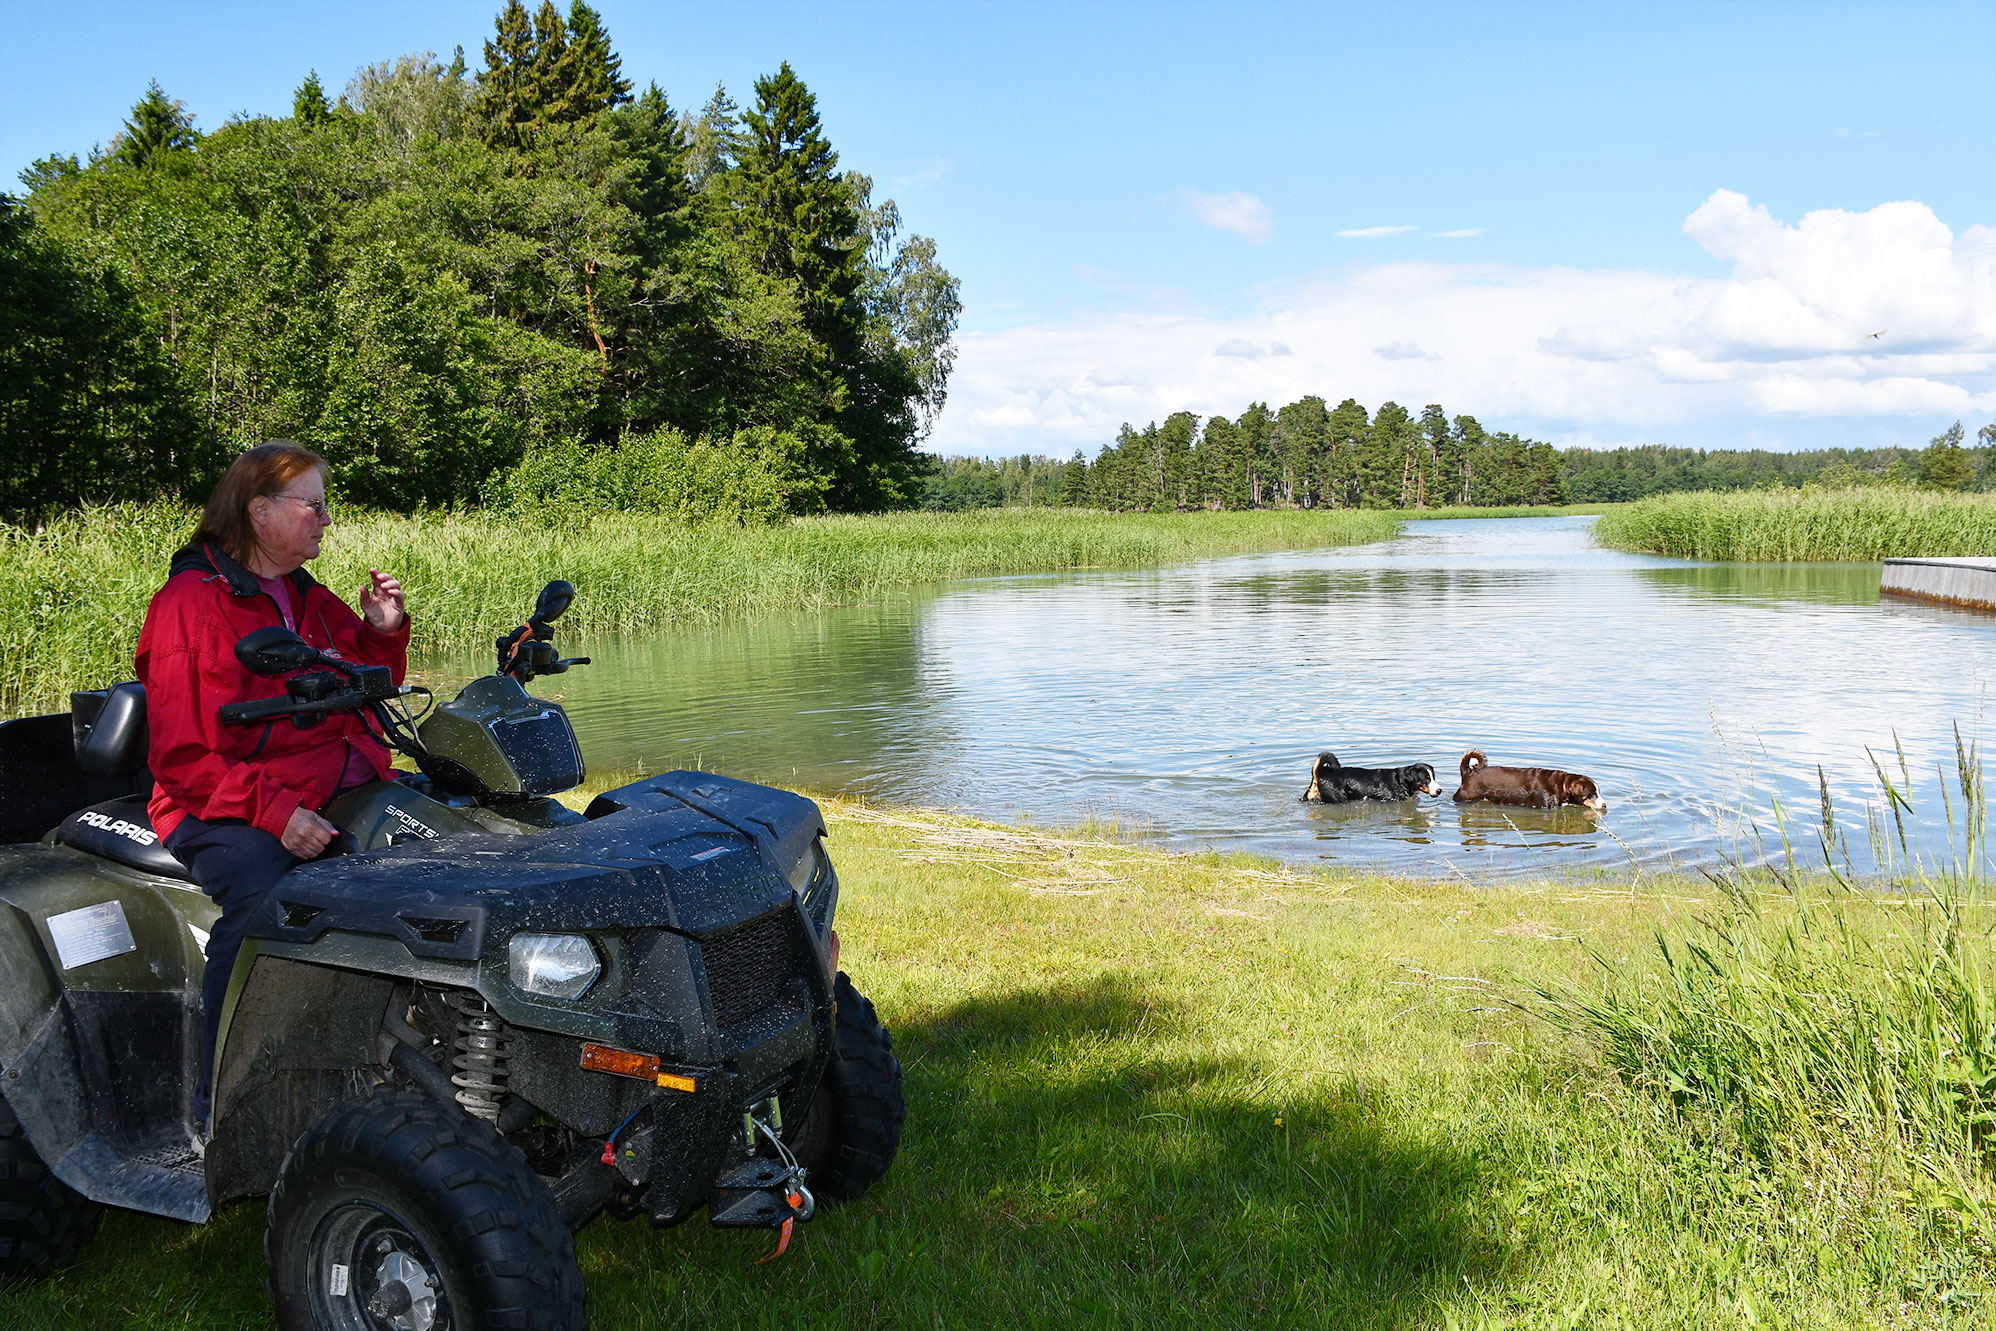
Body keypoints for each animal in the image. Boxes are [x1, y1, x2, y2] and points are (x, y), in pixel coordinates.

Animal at [1301, 750, 1445, 802]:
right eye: (1426, 779)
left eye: (1434, 777)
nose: (1439, 790)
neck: (1400, 781)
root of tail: (1322, 774)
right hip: (1338, 798)